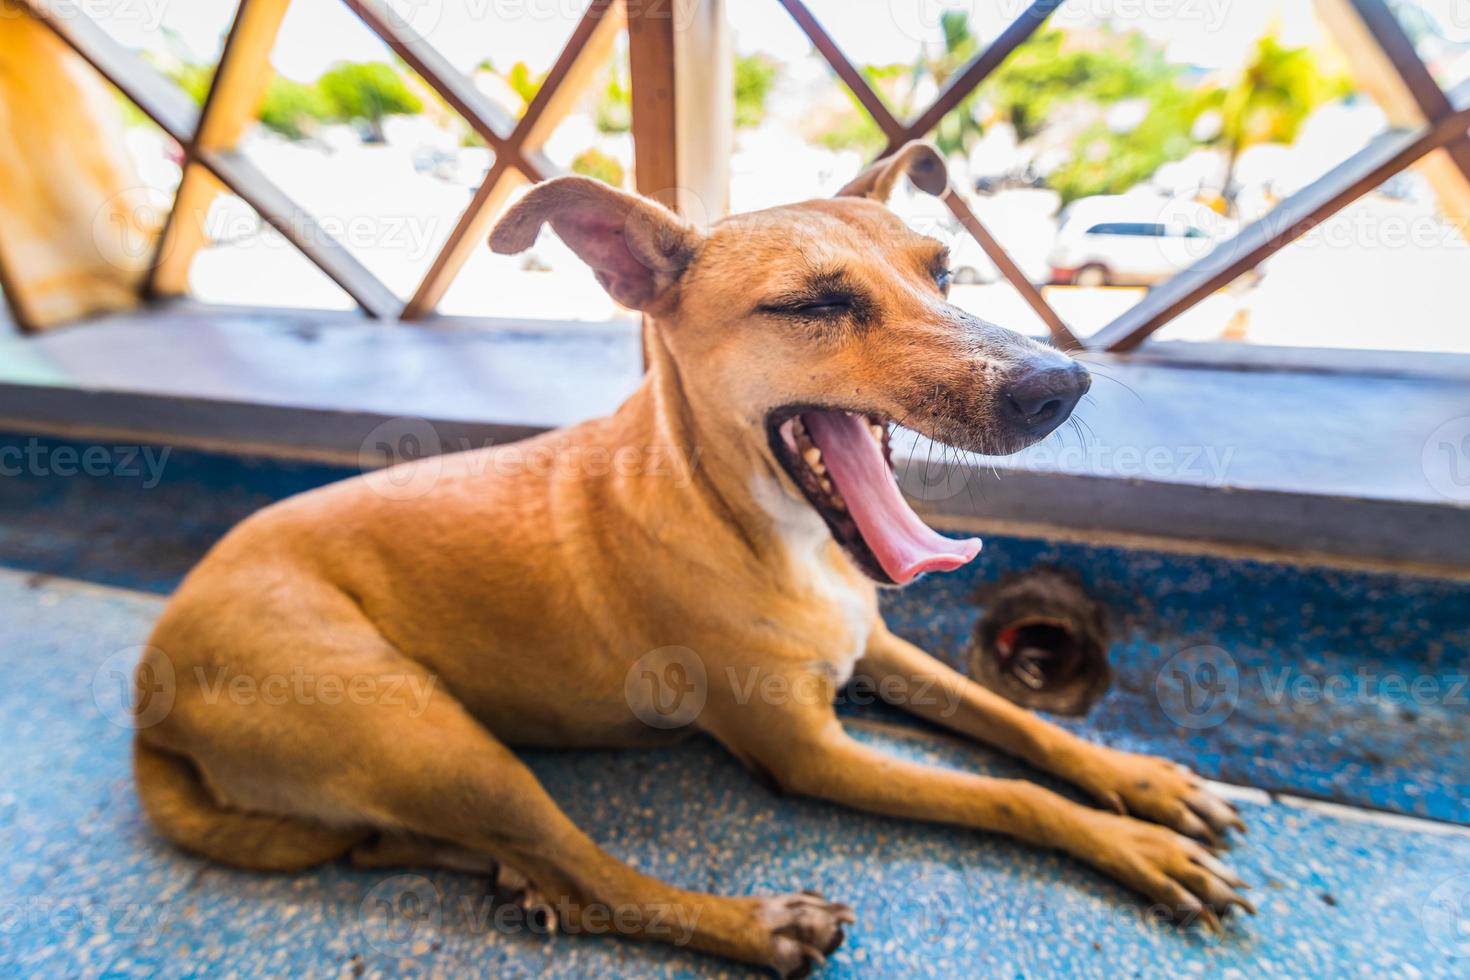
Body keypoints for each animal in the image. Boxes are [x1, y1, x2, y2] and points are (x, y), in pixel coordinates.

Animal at [132, 141, 1246, 975]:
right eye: (812, 305)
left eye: (944, 273)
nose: (1059, 385)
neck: (756, 522)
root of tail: (151, 688)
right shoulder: (810, 753)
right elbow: (1008, 792)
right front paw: (1138, 846)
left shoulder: (879, 647)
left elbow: (1021, 724)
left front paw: (1141, 782)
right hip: (433, 737)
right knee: (595, 881)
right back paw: (758, 925)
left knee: (456, 853)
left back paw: (497, 872)